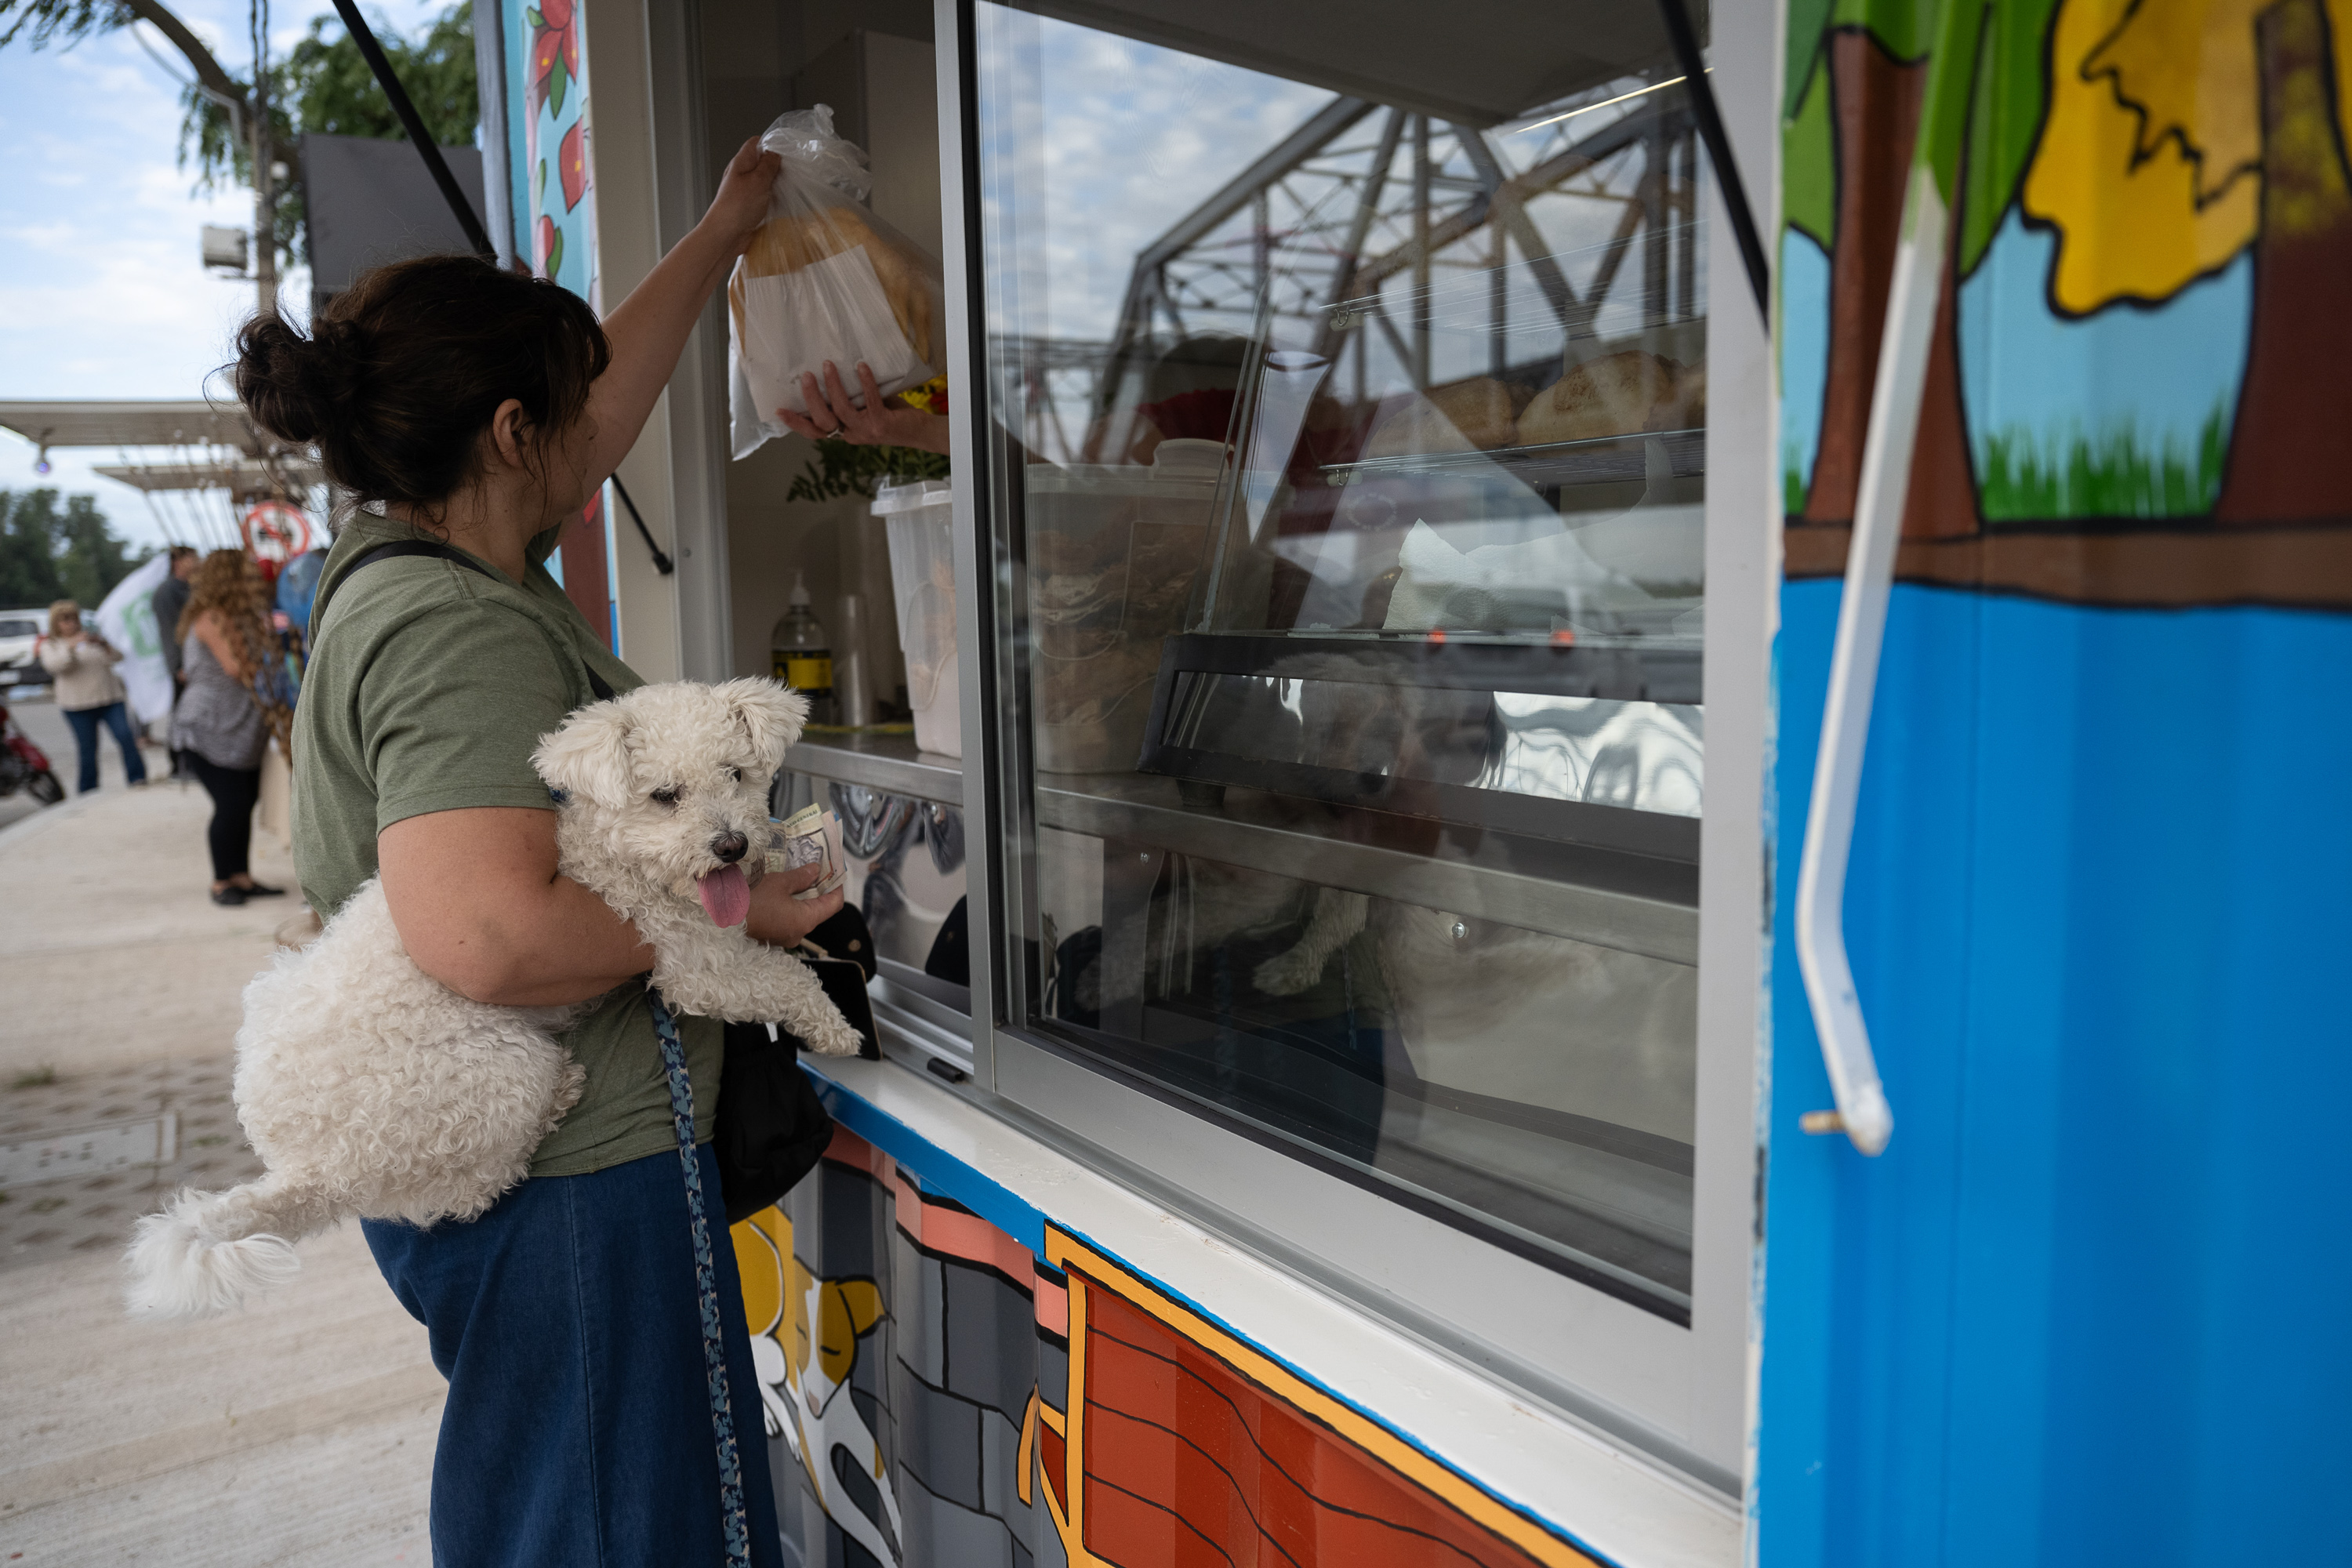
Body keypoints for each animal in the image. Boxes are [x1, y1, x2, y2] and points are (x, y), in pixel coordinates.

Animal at [124, 681, 861, 1316]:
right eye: (664, 795)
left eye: (736, 774)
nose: (732, 845)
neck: (604, 853)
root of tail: (309, 1166)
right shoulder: (692, 963)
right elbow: (784, 978)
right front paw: (835, 1028)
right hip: (498, 1069)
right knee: (470, 1191)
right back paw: (559, 1096)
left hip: (277, 991)